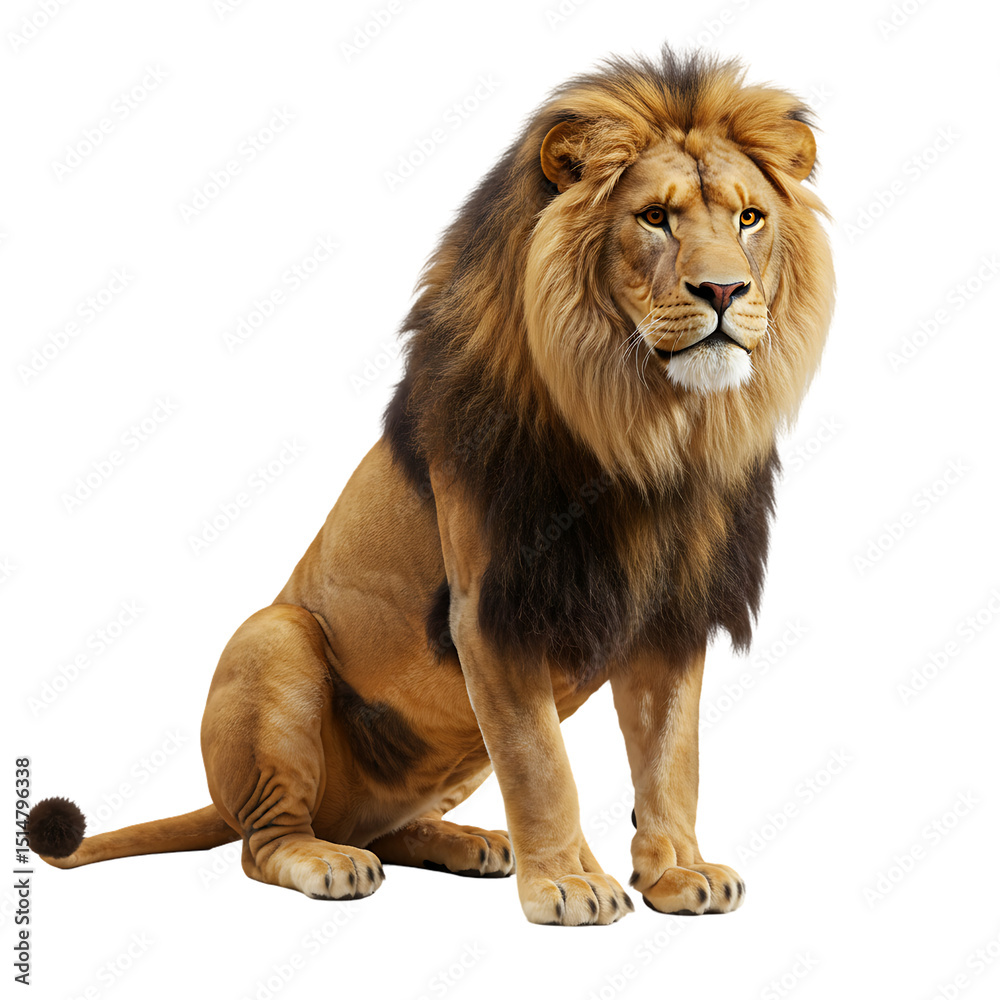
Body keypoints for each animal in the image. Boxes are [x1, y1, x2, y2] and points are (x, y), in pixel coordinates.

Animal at [27, 46, 834, 925]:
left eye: (749, 219)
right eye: (655, 217)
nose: (724, 292)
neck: (647, 429)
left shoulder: (674, 610)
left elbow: (671, 758)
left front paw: (677, 872)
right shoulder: (493, 609)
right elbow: (542, 764)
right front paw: (569, 883)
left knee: (382, 826)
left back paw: (469, 842)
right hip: (274, 638)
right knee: (262, 842)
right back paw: (329, 860)